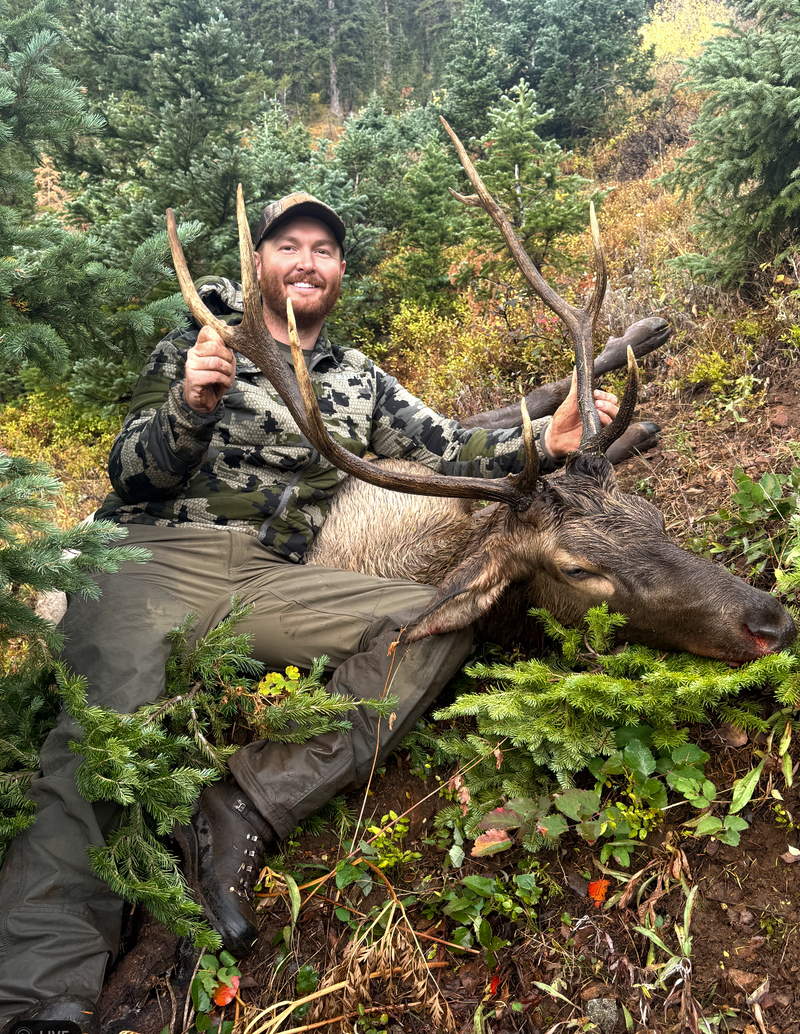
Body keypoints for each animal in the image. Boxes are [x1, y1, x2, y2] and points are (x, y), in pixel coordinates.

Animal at [164, 118, 796, 666]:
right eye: (577, 570)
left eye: (654, 516)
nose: (770, 622)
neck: (441, 551)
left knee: (496, 423)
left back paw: (640, 349)